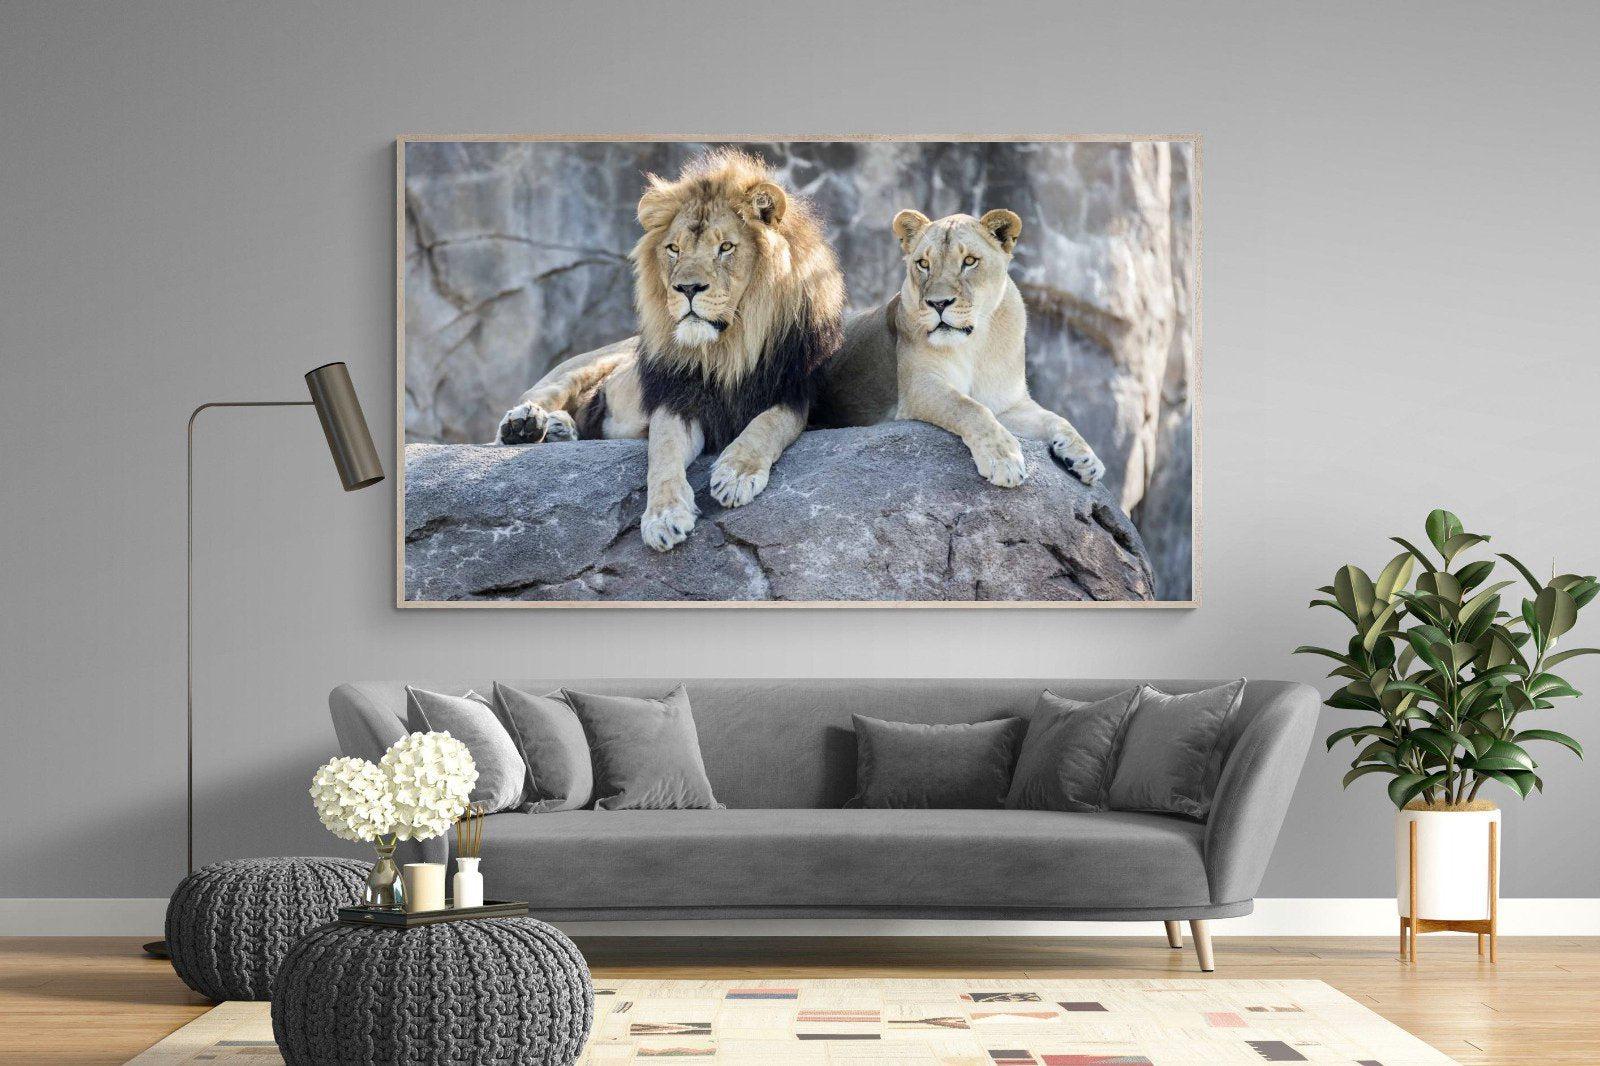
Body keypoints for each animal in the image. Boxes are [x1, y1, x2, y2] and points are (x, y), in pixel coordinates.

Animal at [495, 150, 846, 552]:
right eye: (674, 249)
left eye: (725, 247)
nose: (687, 288)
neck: (727, 349)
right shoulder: (676, 398)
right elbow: (662, 453)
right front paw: (663, 517)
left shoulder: (795, 393)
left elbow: (768, 424)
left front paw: (736, 474)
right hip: (582, 365)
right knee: (537, 397)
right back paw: (525, 425)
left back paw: (558, 428)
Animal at [813, 208, 1105, 489]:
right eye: (923, 264)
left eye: (969, 261)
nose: (938, 303)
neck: (975, 344)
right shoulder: (919, 386)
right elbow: (968, 407)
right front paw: (1004, 459)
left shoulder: (1007, 404)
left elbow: (1056, 418)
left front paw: (1086, 458)